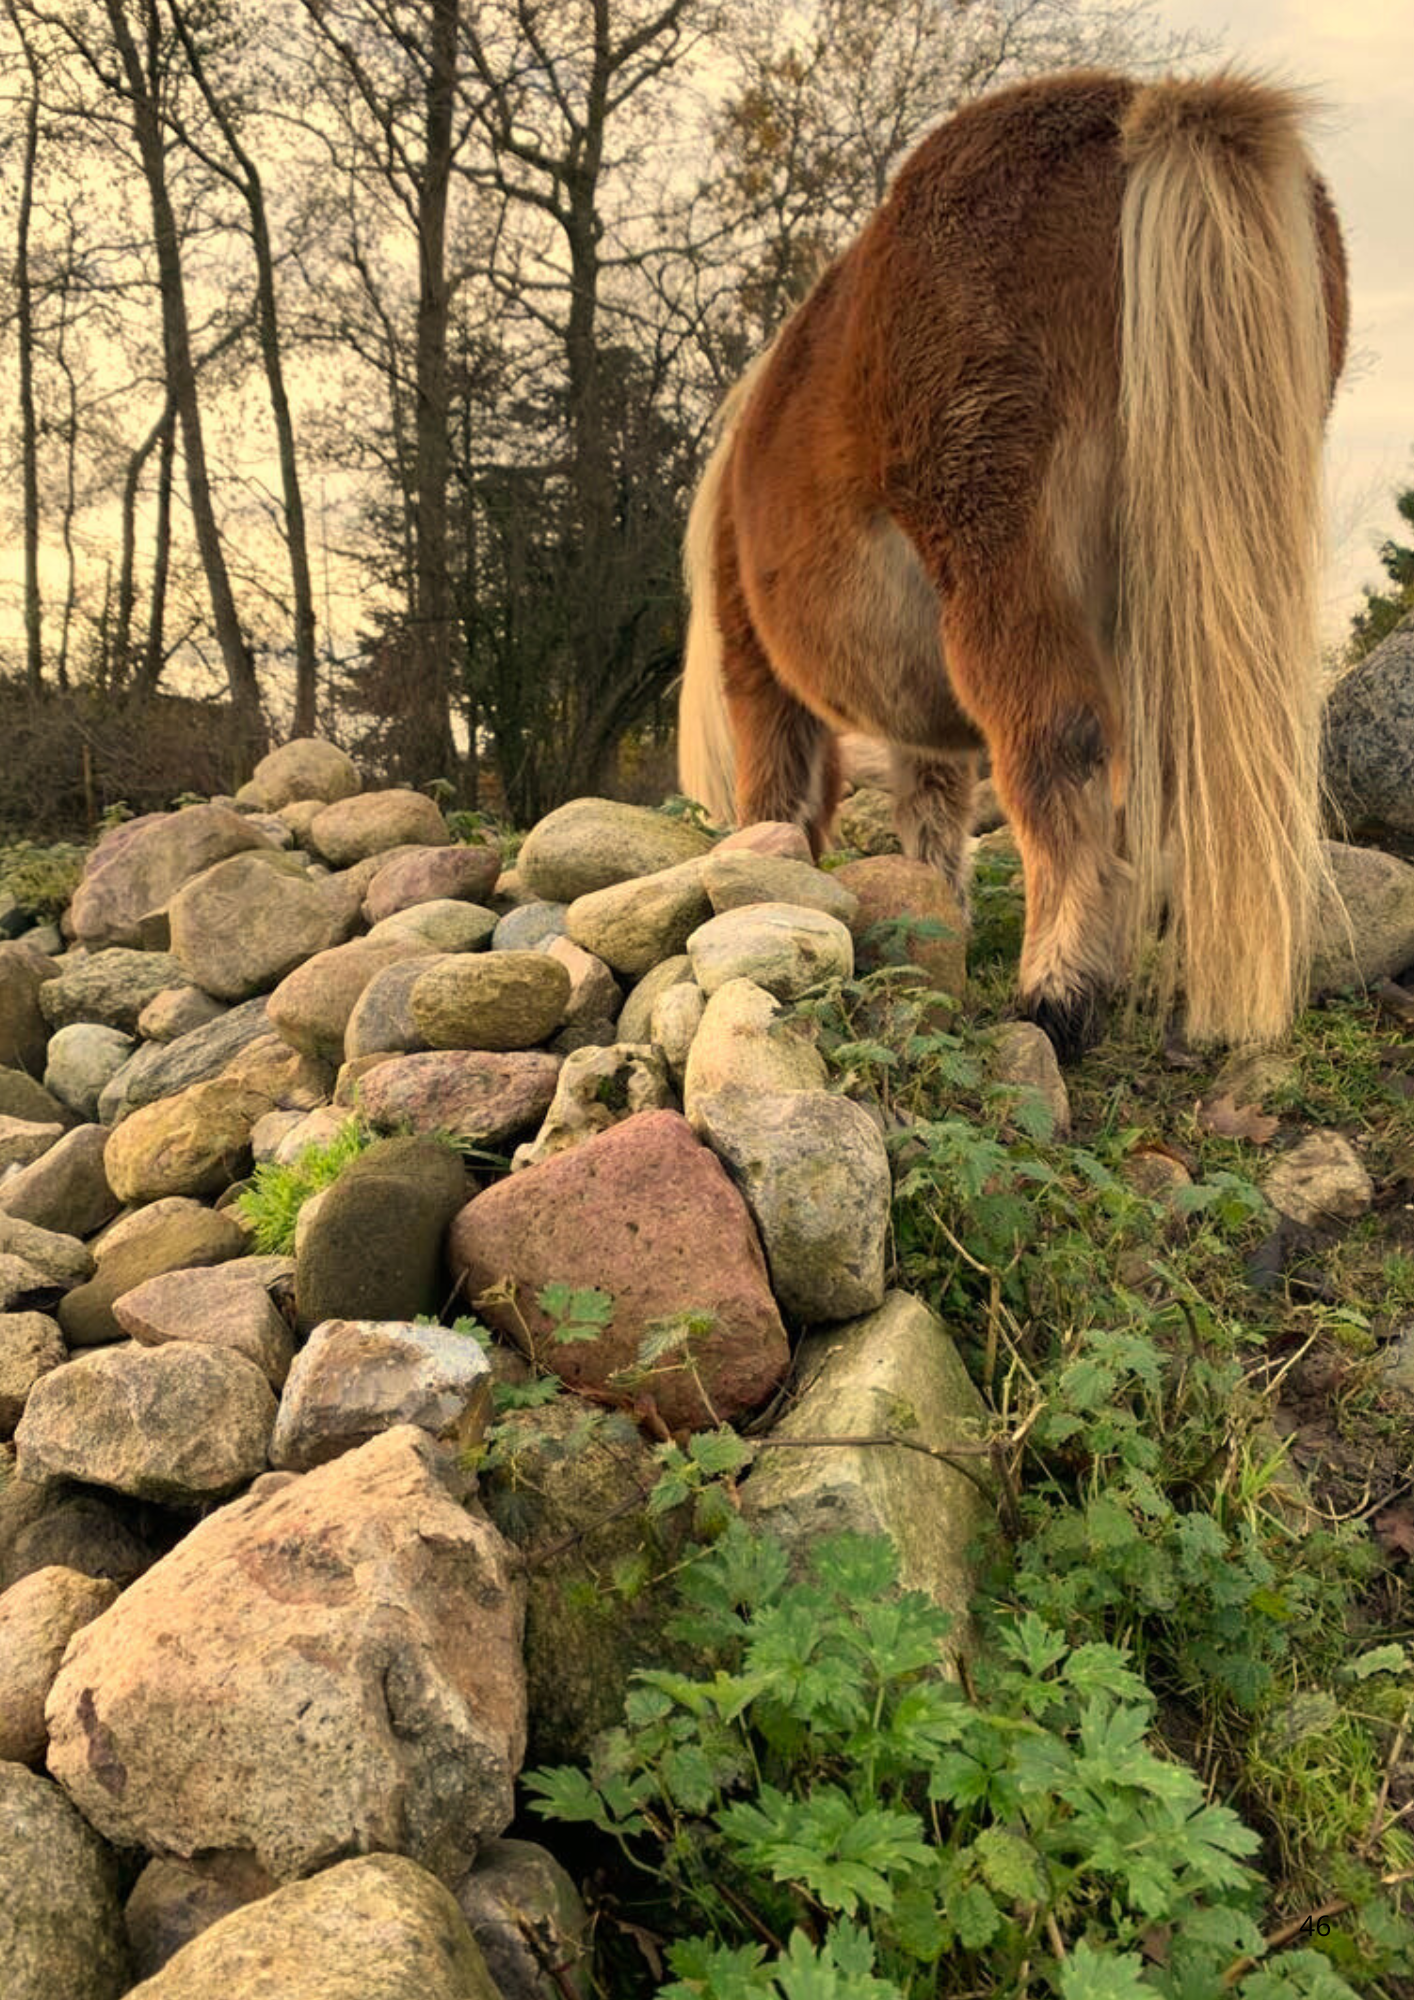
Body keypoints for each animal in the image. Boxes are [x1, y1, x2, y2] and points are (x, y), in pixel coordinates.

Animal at [680, 70, 1352, 1056]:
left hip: (1005, 568)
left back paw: (1057, 994)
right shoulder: (921, 724)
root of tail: (1135, 108)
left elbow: (781, 806)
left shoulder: (761, 679)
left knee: (1060, 756)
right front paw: (937, 921)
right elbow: (931, 815)